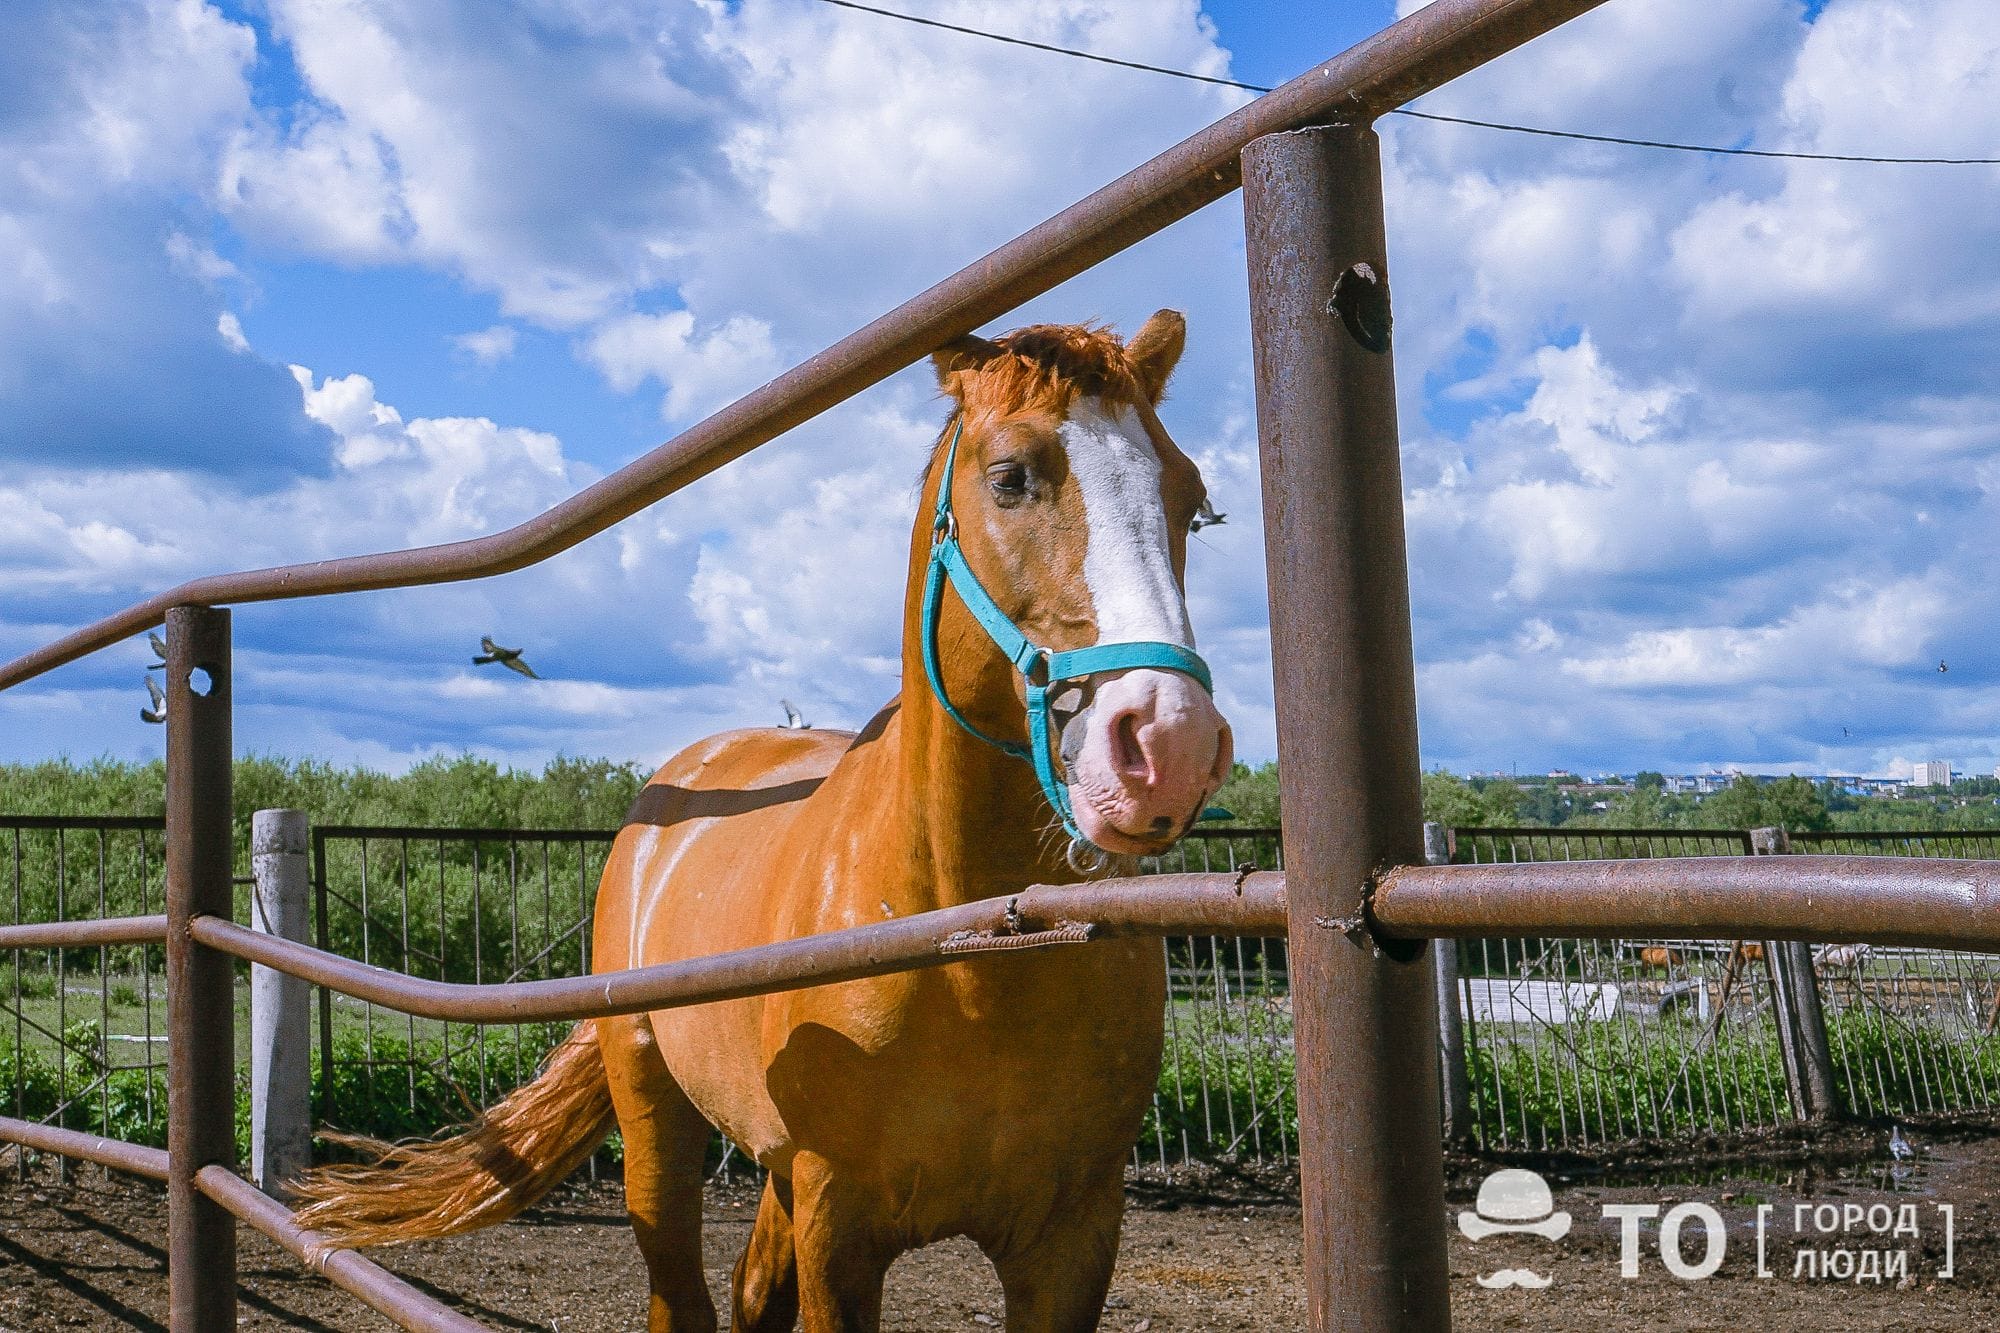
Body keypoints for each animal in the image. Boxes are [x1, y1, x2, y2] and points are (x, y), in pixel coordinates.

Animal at [294, 306, 1232, 1320]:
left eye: (1190, 495)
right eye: (1012, 475)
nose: (1168, 743)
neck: (972, 949)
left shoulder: (1072, 1237)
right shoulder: (838, 1218)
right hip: (657, 1116)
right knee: (683, 1294)